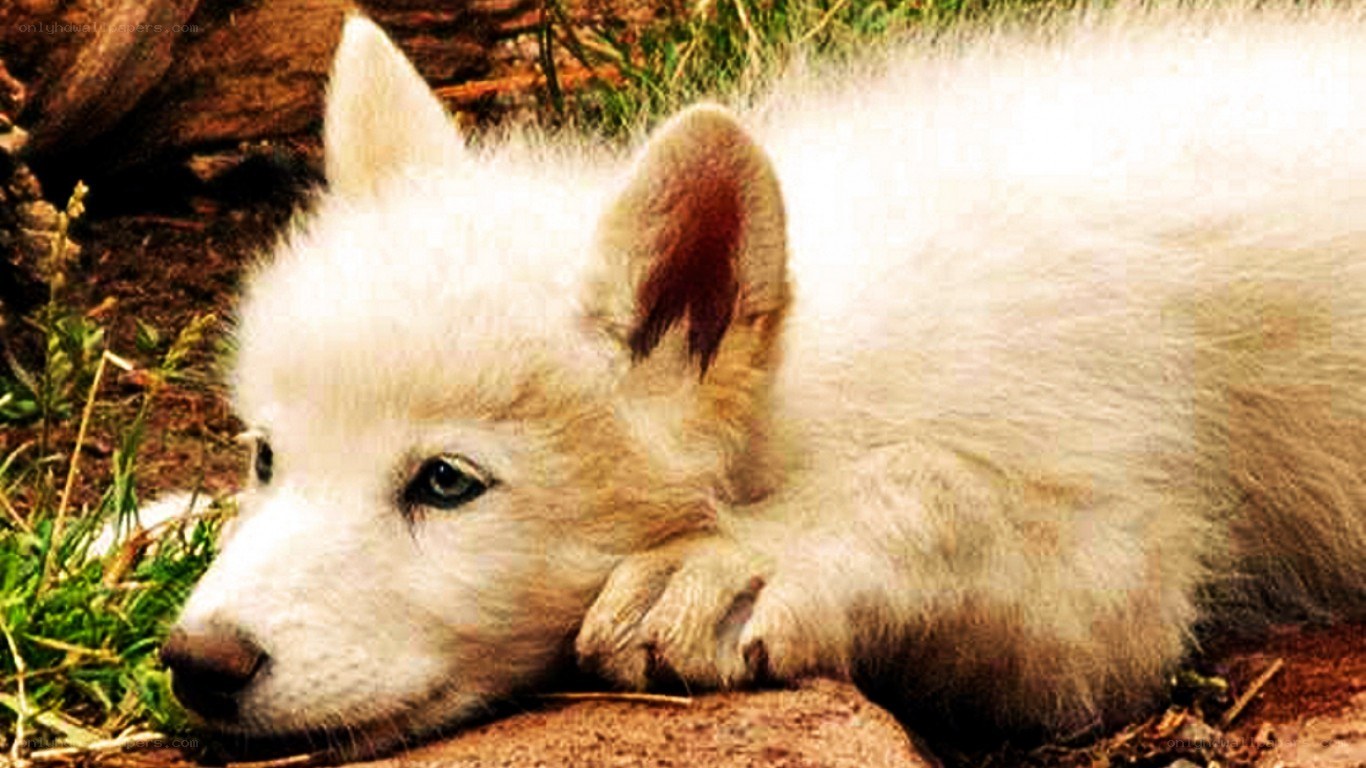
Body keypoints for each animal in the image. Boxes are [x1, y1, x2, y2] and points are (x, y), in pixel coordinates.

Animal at [159, 2, 1366, 757]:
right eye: (266, 457)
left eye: (447, 484)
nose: (198, 660)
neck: (818, 366)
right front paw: (141, 523)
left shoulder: (1112, 568)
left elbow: (940, 487)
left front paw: (743, 563)